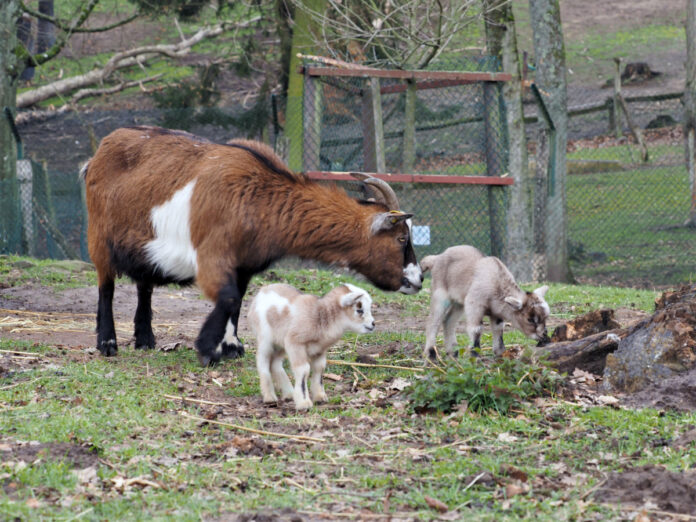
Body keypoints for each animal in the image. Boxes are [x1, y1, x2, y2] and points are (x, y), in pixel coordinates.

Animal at [80, 125, 418, 366]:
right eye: (401, 238)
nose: (417, 280)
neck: (260, 195)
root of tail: (98, 154)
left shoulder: (244, 263)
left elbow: (237, 300)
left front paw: (231, 346)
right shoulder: (213, 254)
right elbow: (229, 297)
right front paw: (208, 349)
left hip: (143, 247)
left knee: (144, 284)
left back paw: (145, 339)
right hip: (99, 236)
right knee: (106, 286)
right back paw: (107, 343)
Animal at [418, 244, 548, 358]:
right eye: (530, 319)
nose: (544, 336)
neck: (496, 282)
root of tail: (436, 258)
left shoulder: (496, 312)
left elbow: (498, 328)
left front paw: (500, 352)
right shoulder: (474, 304)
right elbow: (476, 329)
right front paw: (475, 354)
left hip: (459, 303)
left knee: (448, 321)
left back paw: (453, 352)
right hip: (440, 295)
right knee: (433, 321)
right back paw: (431, 354)